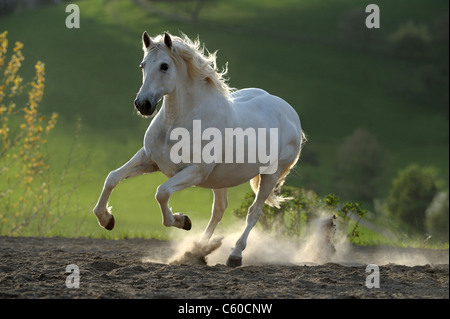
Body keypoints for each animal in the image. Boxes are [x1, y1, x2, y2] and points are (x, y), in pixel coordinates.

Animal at [94, 32, 306, 268]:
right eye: (143, 65)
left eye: (164, 66)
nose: (143, 105)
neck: (178, 124)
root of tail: (290, 113)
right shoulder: (150, 160)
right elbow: (112, 178)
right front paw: (106, 219)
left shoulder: (195, 171)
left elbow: (162, 192)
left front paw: (182, 220)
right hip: (222, 179)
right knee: (219, 210)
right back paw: (198, 251)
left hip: (270, 174)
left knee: (254, 212)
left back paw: (234, 255)